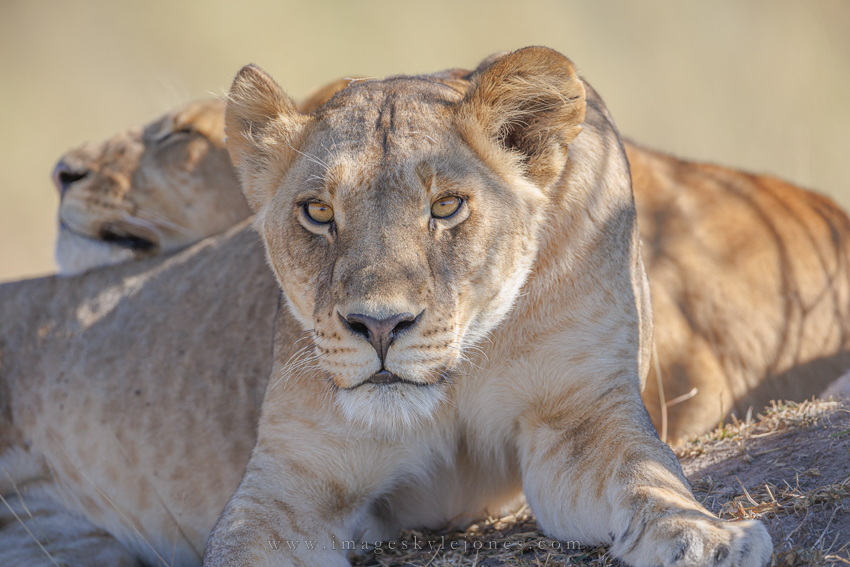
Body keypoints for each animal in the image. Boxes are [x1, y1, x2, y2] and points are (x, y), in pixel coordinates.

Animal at [199, 47, 770, 566]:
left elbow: (648, 474)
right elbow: (241, 548)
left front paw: (708, 537)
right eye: (318, 212)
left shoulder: (580, 413)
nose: (380, 326)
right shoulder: (290, 478)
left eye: (446, 206)